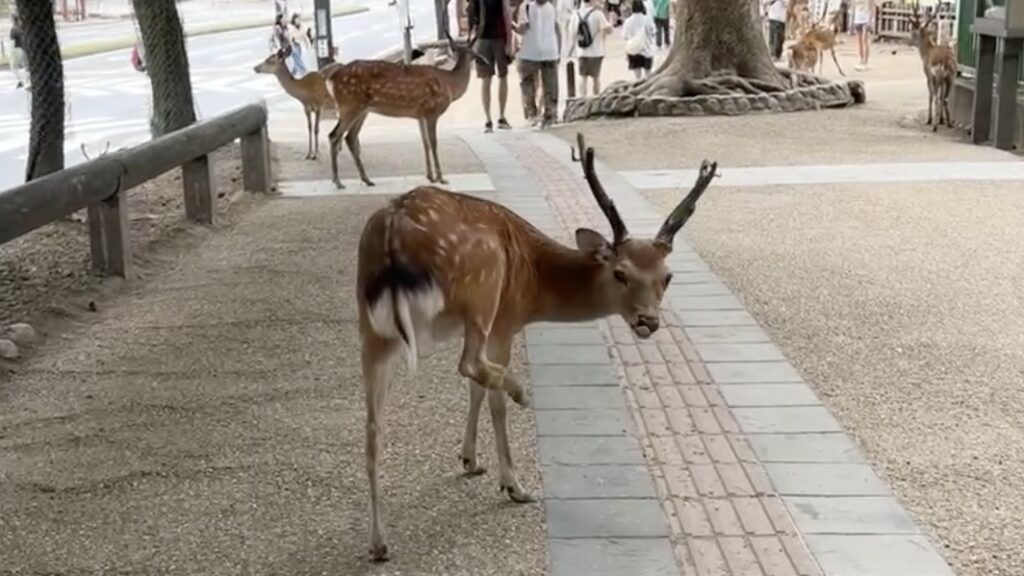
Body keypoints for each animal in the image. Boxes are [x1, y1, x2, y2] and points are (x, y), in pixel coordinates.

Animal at [323, 31, 484, 189]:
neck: (450, 85)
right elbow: (433, 142)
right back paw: (337, 181)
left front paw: (430, 177)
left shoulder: (420, 114)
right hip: (350, 105)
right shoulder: (432, 110)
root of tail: (331, 79)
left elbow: (425, 142)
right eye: (474, 51)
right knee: (334, 135)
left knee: (349, 137)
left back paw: (366, 179)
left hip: (362, 110)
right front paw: (441, 178)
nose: (482, 60)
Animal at [355, 132, 719, 562]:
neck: (535, 285)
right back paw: (520, 402)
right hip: (484, 285)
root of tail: (392, 232)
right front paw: (509, 482)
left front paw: (470, 460)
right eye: (620, 273)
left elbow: (475, 391)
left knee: (373, 426)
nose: (649, 321)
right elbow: (488, 394)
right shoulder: (505, 321)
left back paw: (379, 542)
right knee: (470, 365)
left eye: (668, 276)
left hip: (371, 324)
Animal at [909, 2, 956, 131]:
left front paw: (929, 120)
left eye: (913, 32)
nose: (908, 42)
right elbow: (940, 96)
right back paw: (949, 123)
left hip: (937, 75)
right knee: (945, 98)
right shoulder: (942, 80)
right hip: (951, 77)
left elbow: (931, 95)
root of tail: (946, 60)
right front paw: (941, 120)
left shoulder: (929, 75)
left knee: (936, 97)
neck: (926, 52)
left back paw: (934, 126)